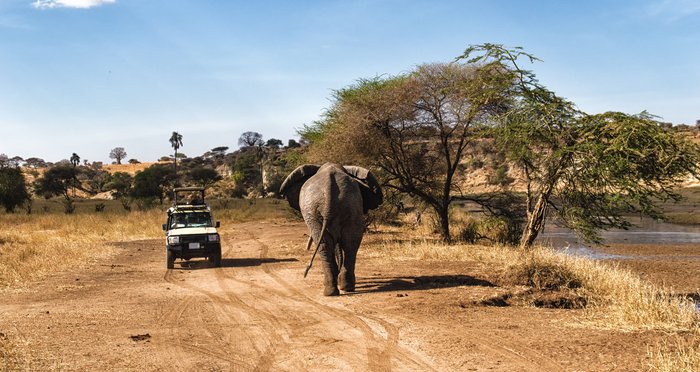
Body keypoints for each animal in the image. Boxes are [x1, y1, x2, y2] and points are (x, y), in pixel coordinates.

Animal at [280, 163, 382, 296]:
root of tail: (329, 191)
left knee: (334, 244)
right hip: (346, 207)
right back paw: (341, 289)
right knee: (346, 244)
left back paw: (335, 289)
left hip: (319, 210)